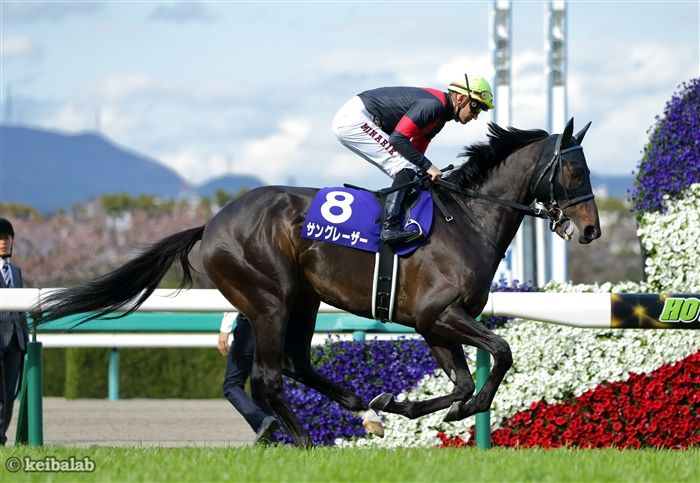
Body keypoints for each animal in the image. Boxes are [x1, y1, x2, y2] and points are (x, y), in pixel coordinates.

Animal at [36, 118, 601, 447]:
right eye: (575, 172)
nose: (591, 229)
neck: (464, 219)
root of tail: (212, 224)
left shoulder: (436, 324)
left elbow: (462, 383)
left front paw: (402, 404)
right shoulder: (437, 314)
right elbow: (501, 352)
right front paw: (444, 407)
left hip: (302, 300)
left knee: (296, 364)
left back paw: (361, 408)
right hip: (269, 300)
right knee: (268, 377)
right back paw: (305, 443)